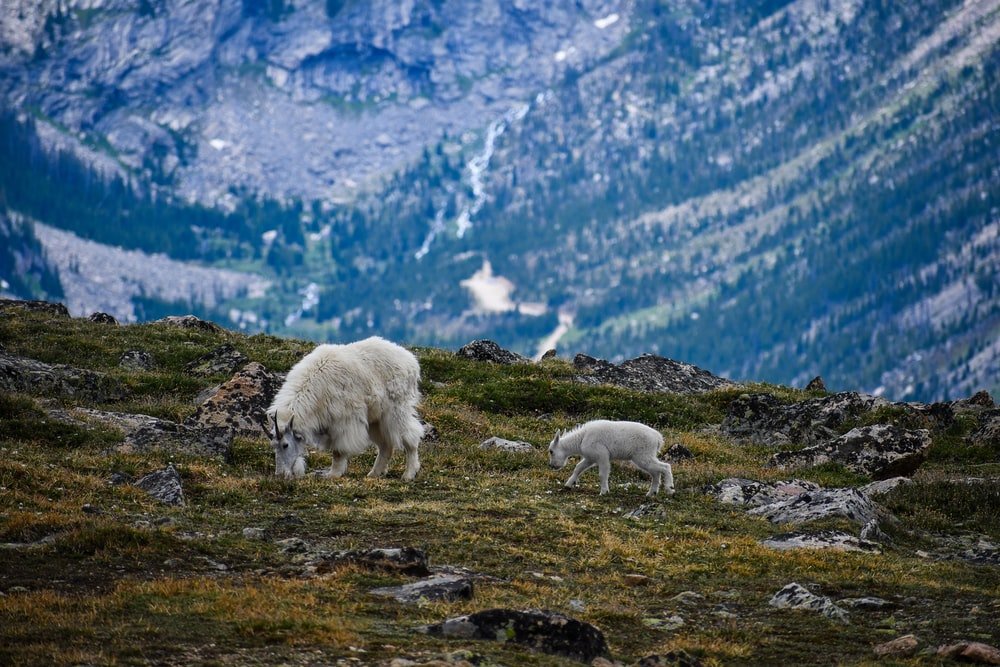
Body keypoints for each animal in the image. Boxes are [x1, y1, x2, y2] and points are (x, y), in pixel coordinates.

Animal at [266, 337, 423, 480]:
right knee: (385, 444)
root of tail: (412, 363)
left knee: (410, 436)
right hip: (376, 419)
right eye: (273, 445)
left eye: (285, 445)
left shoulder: (344, 420)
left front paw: (333, 474)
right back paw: (374, 473)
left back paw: (409, 474)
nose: (280, 474)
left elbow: (339, 450)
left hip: (397, 409)